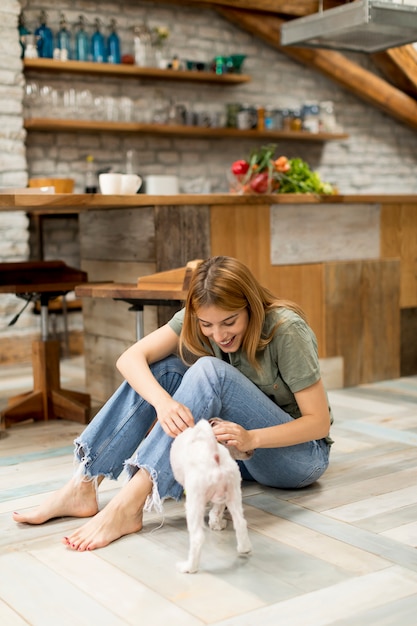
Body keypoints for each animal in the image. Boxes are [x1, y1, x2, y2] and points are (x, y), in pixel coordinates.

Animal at [168, 416, 250, 572]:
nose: (251, 451)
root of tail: (213, 455)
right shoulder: (221, 497)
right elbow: (216, 512)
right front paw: (218, 524)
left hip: (195, 501)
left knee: (197, 538)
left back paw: (189, 567)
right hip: (234, 492)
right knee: (241, 523)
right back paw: (244, 549)